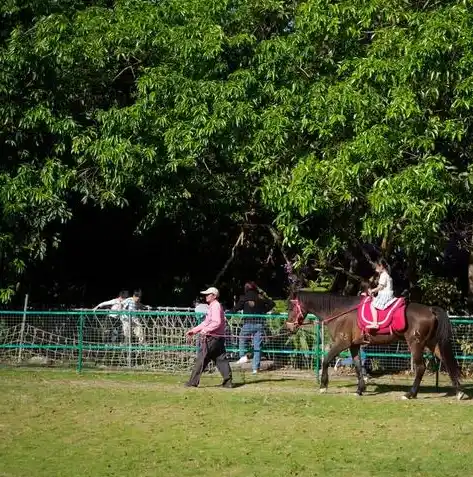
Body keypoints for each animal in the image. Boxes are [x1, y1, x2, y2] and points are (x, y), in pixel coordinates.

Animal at [284, 290, 464, 398]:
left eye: (291, 307)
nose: (289, 327)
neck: (340, 312)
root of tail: (430, 310)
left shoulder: (341, 343)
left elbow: (326, 360)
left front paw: (323, 386)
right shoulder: (354, 345)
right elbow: (358, 366)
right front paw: (360, 389)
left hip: (416, 344)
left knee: (421, 367)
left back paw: (410, 394)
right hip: (432, 343)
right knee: (447, 362)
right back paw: (459, 392)